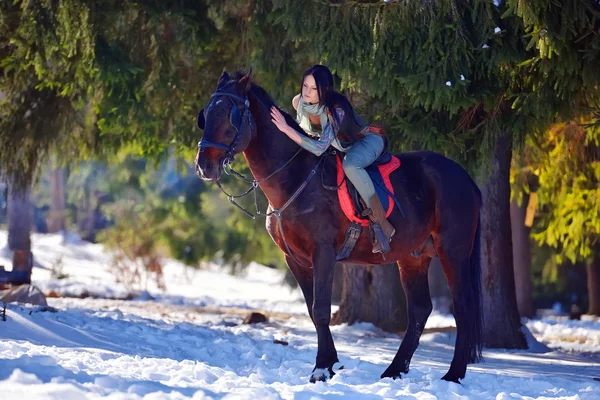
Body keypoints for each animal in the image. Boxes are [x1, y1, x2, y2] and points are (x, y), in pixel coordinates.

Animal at [196, 71, 482, 384]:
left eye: (230, 115)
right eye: (206, 113)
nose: (204, 166)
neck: (294, 179)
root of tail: (465, 178)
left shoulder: (323, 254)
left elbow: (321, 310)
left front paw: (321, 368)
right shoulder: (295, 259)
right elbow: (312, 311)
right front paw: (330, 363)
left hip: (453, 252)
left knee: (464, 306)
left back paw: (453, 375)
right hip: (412, 257)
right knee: (420, 310)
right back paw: (394, 370)